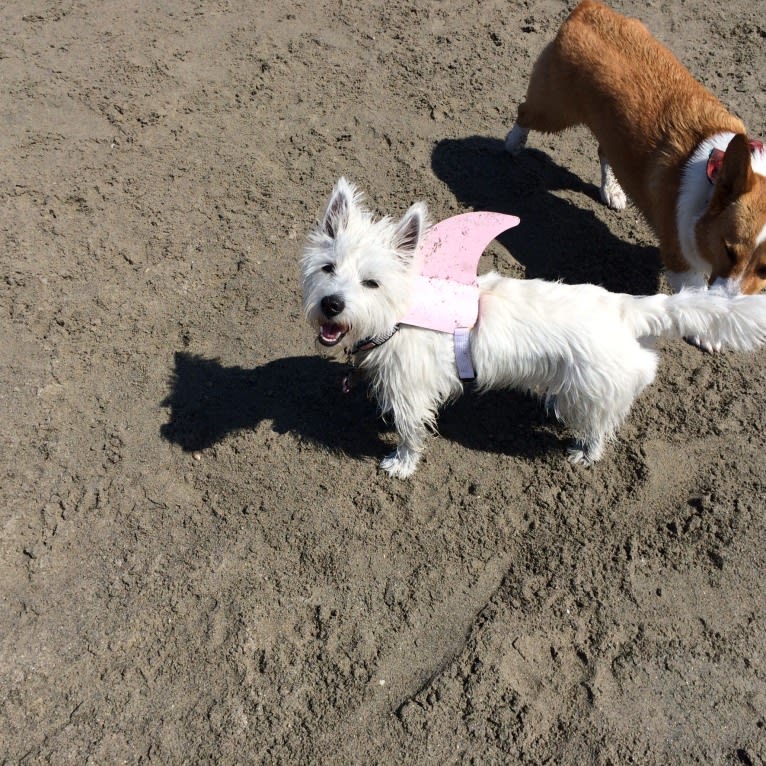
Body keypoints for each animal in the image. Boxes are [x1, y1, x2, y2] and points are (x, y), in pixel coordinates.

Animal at [300, 181, 766, 480]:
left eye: (371, 283)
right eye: (328, 269)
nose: (332, 304)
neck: (398, 312)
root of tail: (626, 309)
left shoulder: (409, 391)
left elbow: (409, 432)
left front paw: (400, 464)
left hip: (594, 387)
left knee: (599, 426)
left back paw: (584, 452)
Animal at [504, 1, 766, 304]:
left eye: (765, 269)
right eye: (728, 250)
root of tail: (590, 8)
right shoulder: (681, 265)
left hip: (607, 130)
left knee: (605, 151)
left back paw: (612, 189)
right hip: (553, 111)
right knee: (525, 112)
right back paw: (513, 143)